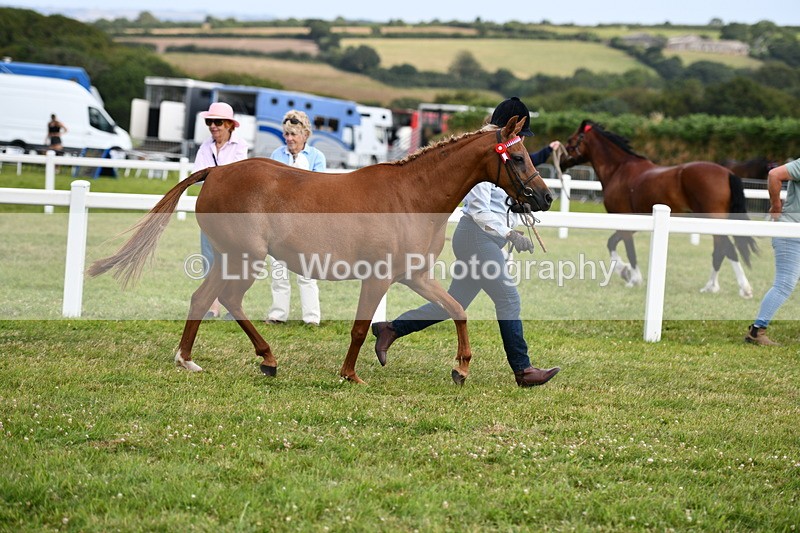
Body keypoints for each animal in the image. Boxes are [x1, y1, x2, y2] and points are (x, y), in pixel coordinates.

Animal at [88, 117, 553, 385]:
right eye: (519, 157)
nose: (545, 197)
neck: (412, 196)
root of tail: (215, 173)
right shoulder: (379, 276)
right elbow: (360, 328)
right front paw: (350, 375)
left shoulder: (414, 275)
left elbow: (456, 309)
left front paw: (461, 368)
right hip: (244, 258)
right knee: (219, 299)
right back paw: (236, 359)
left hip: (230, 257)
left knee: (208, 299)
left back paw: (223, 360)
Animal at [559, 119, 758, 298]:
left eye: (570, 140)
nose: (560, 162)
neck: (618, 170)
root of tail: (728, 173)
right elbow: (612, 243)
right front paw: (626, 272)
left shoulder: (626, 221)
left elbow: (628, 251)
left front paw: (632, 278)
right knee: (720, 252)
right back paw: (711, 286)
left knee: (728, 250)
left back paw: (744, 289)